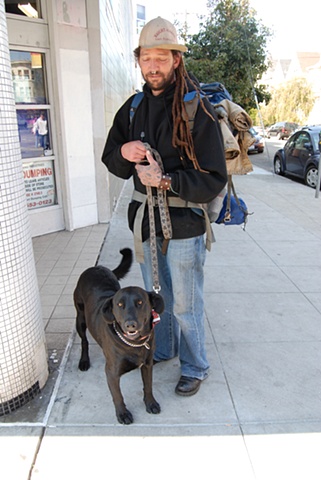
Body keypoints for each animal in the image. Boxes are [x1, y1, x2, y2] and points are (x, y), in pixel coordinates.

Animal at [73, 249, 164, 426]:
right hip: (80, 318)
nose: (130, 325)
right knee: (84, 341)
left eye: (140, 302)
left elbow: (148, 386)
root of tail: (96, 267)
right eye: (119, 305)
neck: (134, 344)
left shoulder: (147, 365)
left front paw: (150, 403)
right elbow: (118, 395)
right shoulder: (111, 372)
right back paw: (84, 361)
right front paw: (122, 414)